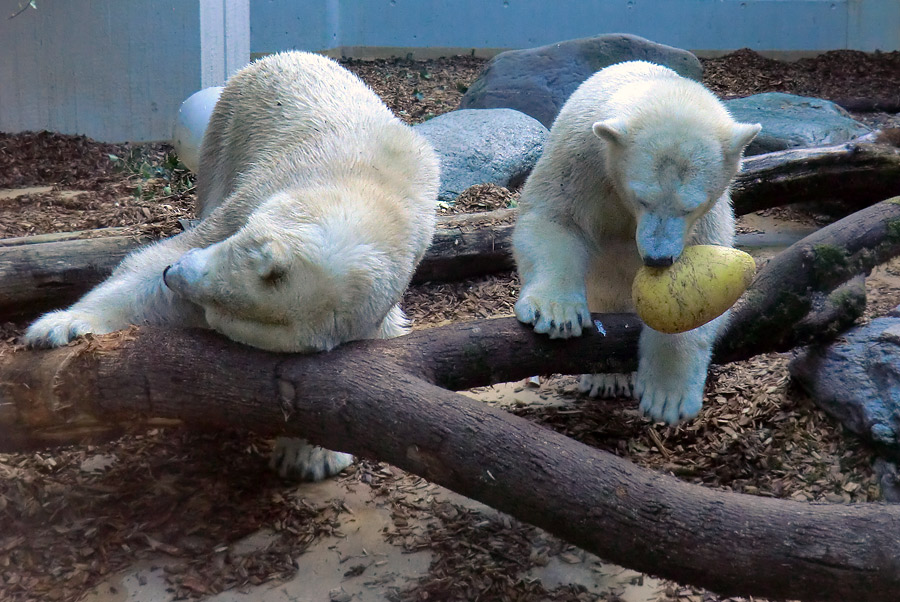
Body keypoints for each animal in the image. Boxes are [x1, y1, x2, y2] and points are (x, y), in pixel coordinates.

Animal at [24, 51, 440, 480]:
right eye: (226, 263)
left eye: (218, 313)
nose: (173, 276)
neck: (373, 189)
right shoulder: (262, 193)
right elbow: (157, 258)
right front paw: (59, 326)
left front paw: (310, 457)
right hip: (226, 132)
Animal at [512, 61, 760, 424]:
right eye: (642, 198)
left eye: (689, 206)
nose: (658, 258)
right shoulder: (581, 157)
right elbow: (552, 218)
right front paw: (557, 313)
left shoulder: (708, 216)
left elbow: (703, 291)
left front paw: (667, 395)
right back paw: (606, 379)